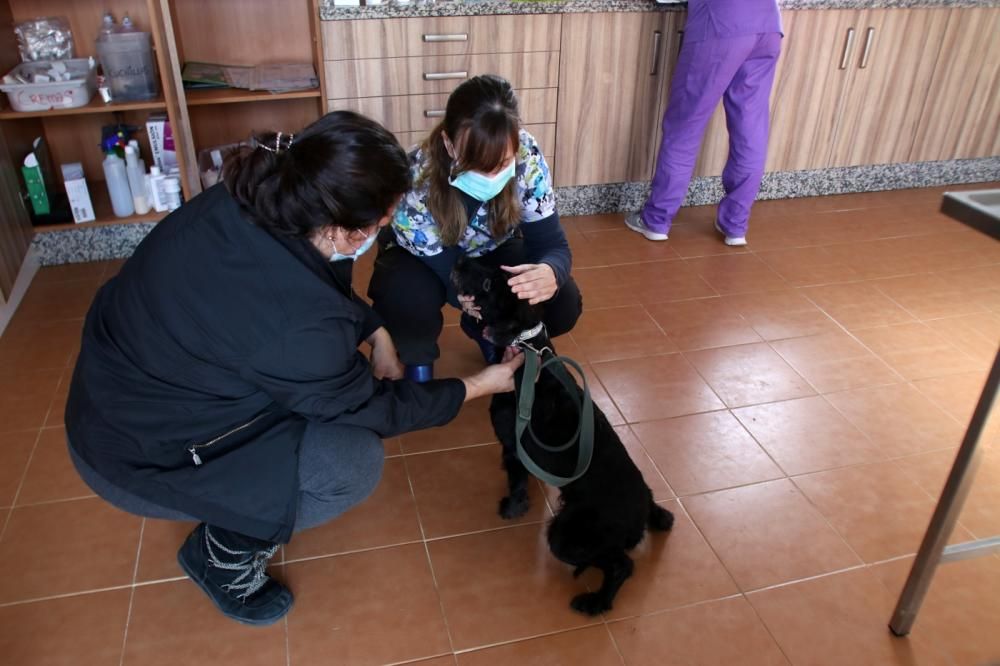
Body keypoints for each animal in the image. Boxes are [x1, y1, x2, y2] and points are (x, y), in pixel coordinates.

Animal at [452, 255, 672, 612]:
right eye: (489, 261)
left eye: (488, 283)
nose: (458, 259)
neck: (529, 349)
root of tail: (641, 511)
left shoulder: (513, 446)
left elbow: (517, 481)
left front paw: (513, 508)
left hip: (567, 535)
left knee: (622, 565)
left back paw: (595, 603)